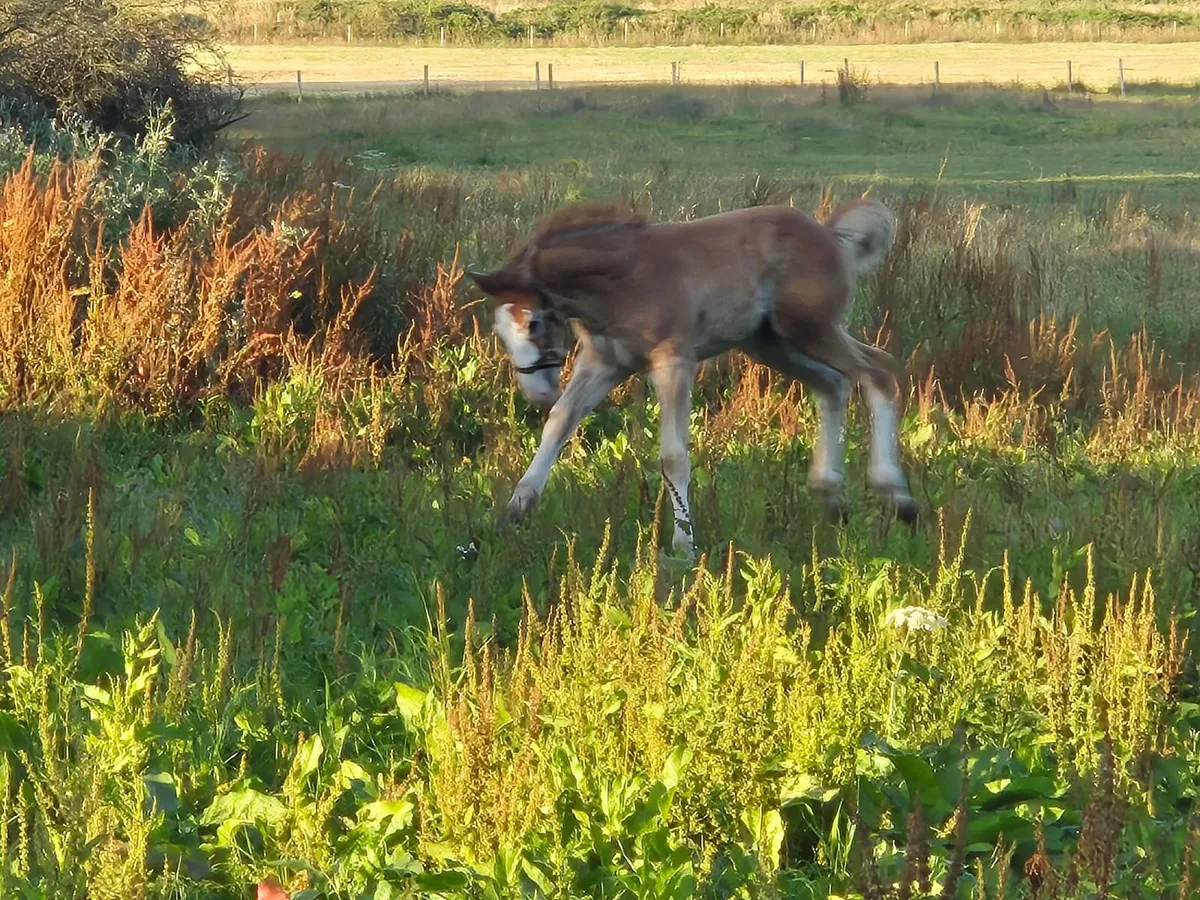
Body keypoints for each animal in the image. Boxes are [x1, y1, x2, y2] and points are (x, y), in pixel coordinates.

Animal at [467, 198, 917, 558]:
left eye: (534, 323)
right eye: (501, 331)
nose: (536, 392)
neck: (622, 280)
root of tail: (827, 233)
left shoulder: (674, 363)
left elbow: (673, 456)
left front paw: (684, 545)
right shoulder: (603, 364)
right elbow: (559, 424)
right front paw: (512, 512)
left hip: (810, 328)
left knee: (878, 371)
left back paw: (897, 497)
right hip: (772, 342)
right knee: (832, 384)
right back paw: (832, 497)